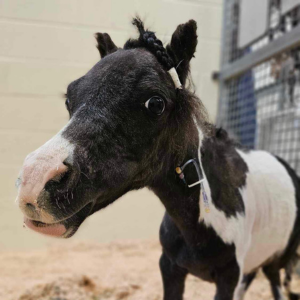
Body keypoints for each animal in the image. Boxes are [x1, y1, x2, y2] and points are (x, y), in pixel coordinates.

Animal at [16, 19, 300, 300]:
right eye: (69, 99)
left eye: (155, 103)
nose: (33, 183)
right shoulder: (170, 267)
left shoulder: (228, 277)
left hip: (276, 263)